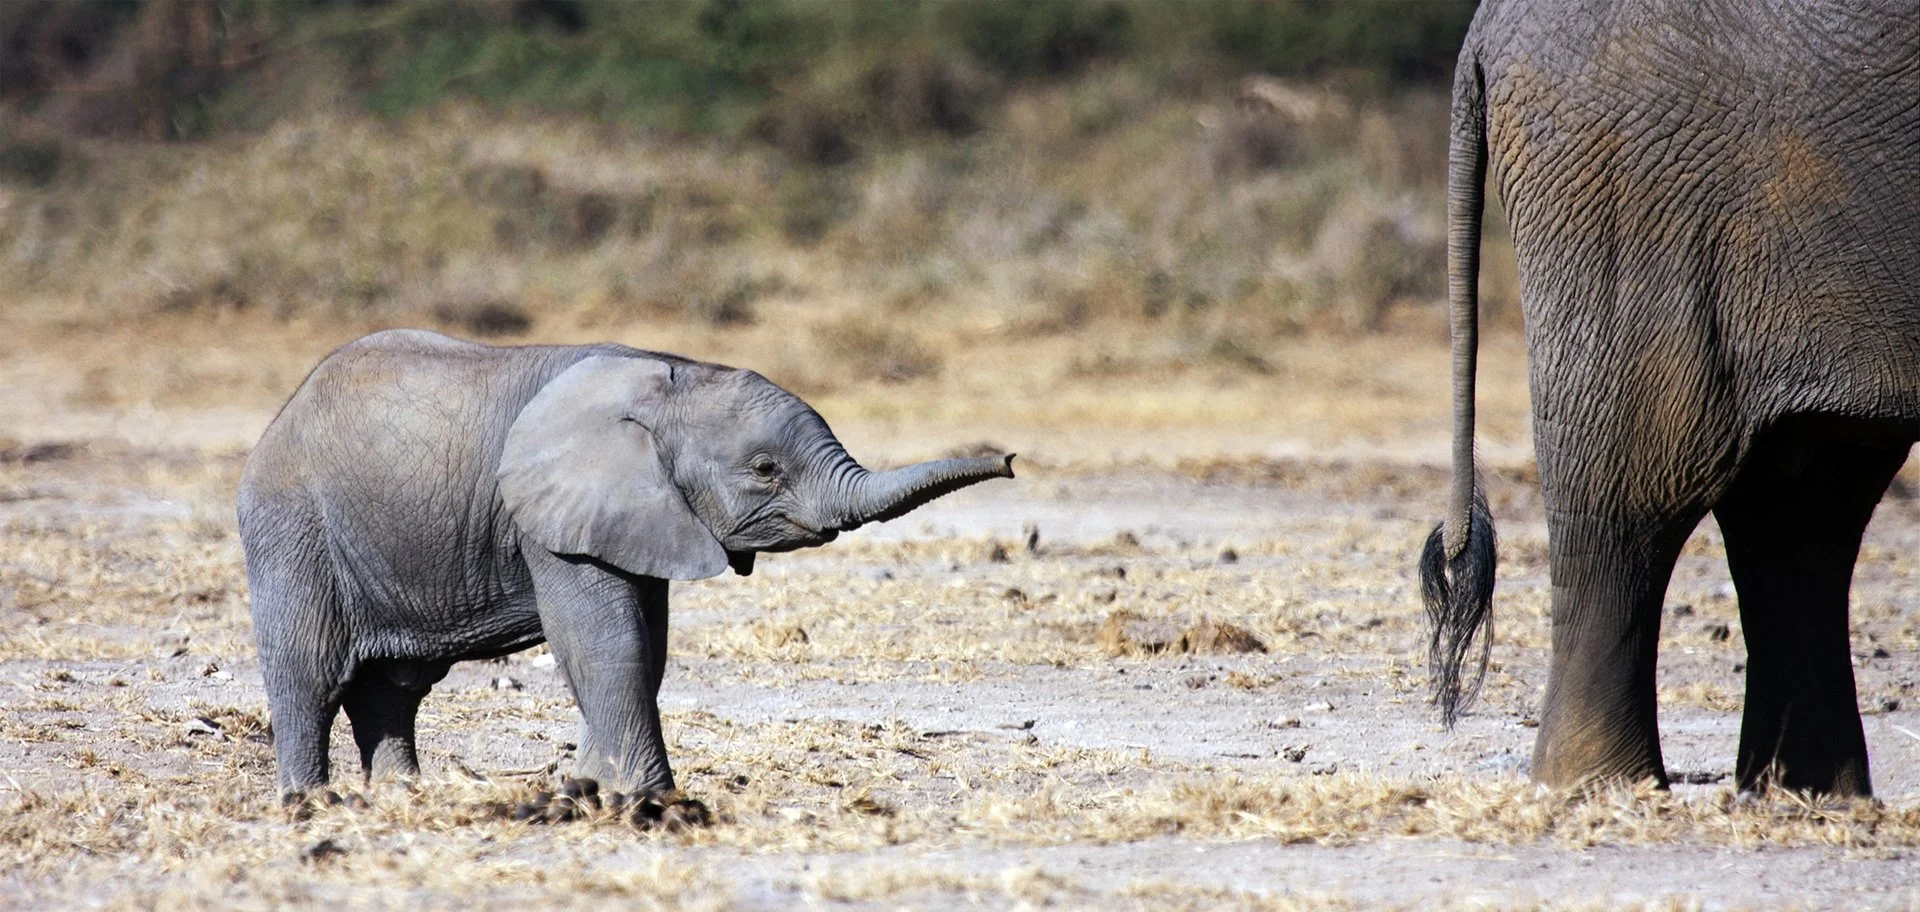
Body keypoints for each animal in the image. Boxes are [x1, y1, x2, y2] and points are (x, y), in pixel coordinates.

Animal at [237, 329, 1014, 799]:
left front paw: (587, 788)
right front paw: (646, 800)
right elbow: (609, 642)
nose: (1009, 460)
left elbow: (648, 645)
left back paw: (406, 797)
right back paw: (311, 804)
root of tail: (279, 417)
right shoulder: (552, 518)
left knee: (394, 689)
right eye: (766, 469)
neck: (673, 377)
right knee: (310, 671)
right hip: (292, 526)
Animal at [1422, 0, 1919, 796]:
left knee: (1803, 501)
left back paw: (1811, 793)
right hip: (1626, 192)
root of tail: (1485, 26)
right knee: (1637, 487)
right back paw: (1601, 787)